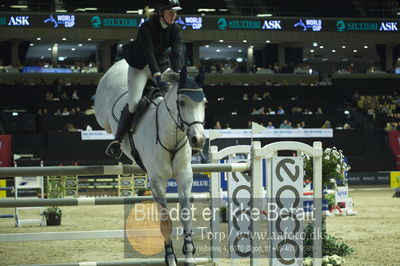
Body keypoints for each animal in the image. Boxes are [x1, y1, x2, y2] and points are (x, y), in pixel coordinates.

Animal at [94, 59, 206, 264]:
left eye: (204, 103)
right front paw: (170, 257)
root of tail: (120, 62)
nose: (198, 140)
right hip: (103, 111)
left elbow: (186, 215)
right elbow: (165, 221)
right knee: (108, 120)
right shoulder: (157, 181)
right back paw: (114, 143)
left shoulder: (185, 176)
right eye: (181, 102)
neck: (171, 135)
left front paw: (189, 255)